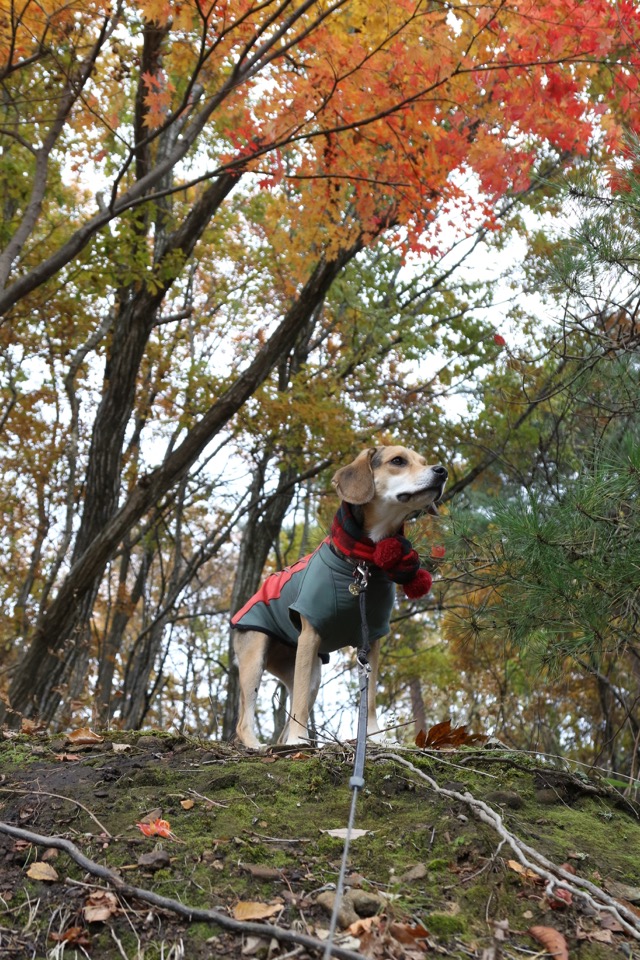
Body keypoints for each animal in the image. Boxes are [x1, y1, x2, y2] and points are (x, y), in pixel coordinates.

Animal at [232, 444, 448, 752]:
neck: (364, 560)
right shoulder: (310, 634)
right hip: (256, 656)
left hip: (310, 672)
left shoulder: (372, 639)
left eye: (423, 461)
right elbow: (298, 705)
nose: (442, 471)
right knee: (245, 719)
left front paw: (375, 738)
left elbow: (370, 699)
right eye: (398, 461)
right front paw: (299, 740)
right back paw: (258, 745)